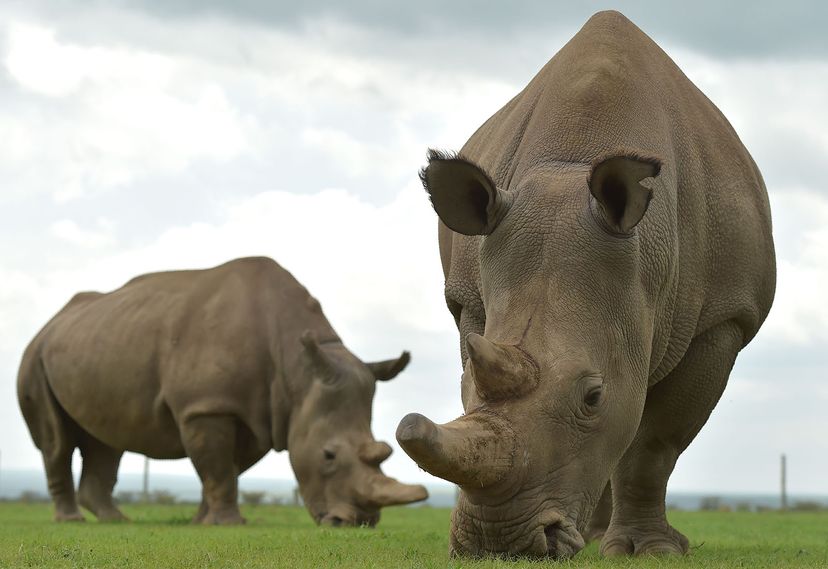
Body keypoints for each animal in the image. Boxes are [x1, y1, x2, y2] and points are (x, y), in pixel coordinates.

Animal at [19, 256, 426, 524]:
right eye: (328, 455)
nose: (359, 523)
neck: (297, 372)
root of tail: (51, 323)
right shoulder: (207, 406)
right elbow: (216, 468)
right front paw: (228, 524)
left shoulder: (261, 413)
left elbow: (224, 469)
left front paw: (204, 522)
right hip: (35, 356)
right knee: (56, 443)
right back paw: (72, 521)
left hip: (96, 341)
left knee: (106, 440)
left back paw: (115, 521)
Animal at [398, 8, 772, 560]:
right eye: (462, 389)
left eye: (592, 396)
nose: (499, 543)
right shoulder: (471, 302)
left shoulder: (724, 319)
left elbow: (654, 442)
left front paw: (652, 552)